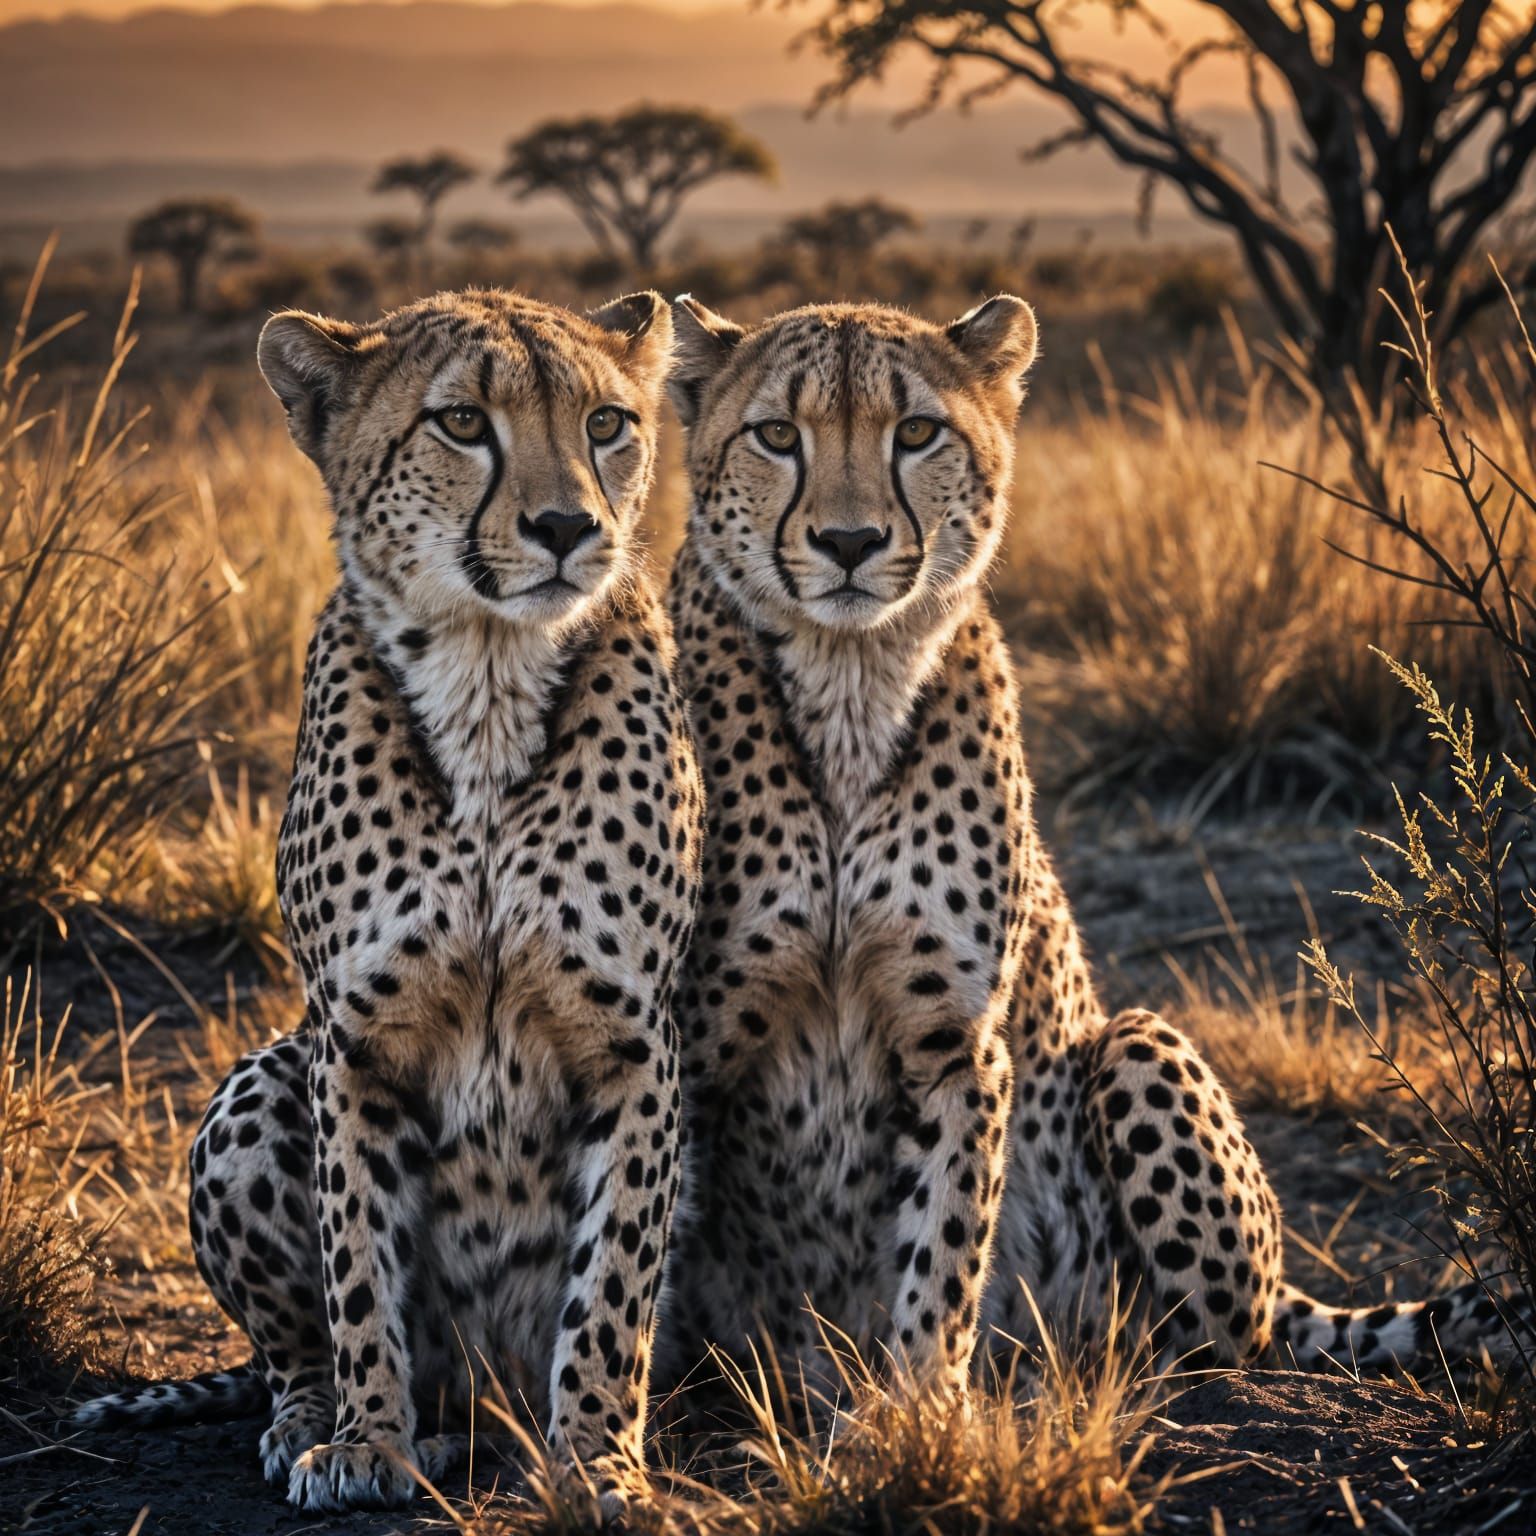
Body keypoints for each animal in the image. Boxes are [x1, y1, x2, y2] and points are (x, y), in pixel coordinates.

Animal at [73, 287, 705, 1515]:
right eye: (462, 422)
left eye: (606, 422)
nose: (568, 527)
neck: (491, 681)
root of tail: (485, 1406)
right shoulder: (354, 1047)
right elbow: (357, 1266)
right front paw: (368, 1441)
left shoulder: (633, 1047)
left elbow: (611, 1289)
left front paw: (597, 1459)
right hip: (259, 1080)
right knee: (291, 1352)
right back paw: (327, 1424)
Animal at [653, 292, 1523, 1405]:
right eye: (775, 434)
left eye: (917, 432)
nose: (849, 541)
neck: (851, 681)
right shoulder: (683, 1038)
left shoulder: (957, 1043)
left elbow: (943, 1254)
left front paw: (920, 1414)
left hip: (1136, 1049)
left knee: (1218, 1339)